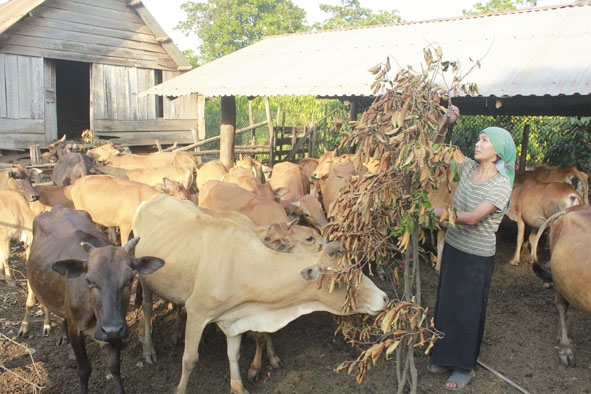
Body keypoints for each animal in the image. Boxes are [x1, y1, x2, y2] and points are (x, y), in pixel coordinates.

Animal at [21, 206, 164, 394]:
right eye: (89, 280)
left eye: (130, 279)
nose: (110, 329)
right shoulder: (77, 329)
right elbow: (84, 369)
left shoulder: (116, 328)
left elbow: (114, 366)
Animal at [131, 194, 388, 394]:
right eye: (343, 279)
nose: (384, 298)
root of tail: (152, 199)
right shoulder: (197, 312)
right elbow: (189, 359)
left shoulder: (234, 318)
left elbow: (234, 354)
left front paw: (238, 385)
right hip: (146, 279)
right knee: (146, 308)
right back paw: (148, 349)